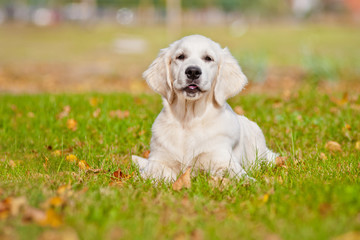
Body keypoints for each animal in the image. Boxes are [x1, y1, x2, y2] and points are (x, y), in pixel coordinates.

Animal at [133, 34, 278, 180]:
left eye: (208, 58)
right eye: (180, 56)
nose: (192, 71)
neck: (189, 120)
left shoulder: (222, 159)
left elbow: (235, 177)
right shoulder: (159, 160)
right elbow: (153, 175)